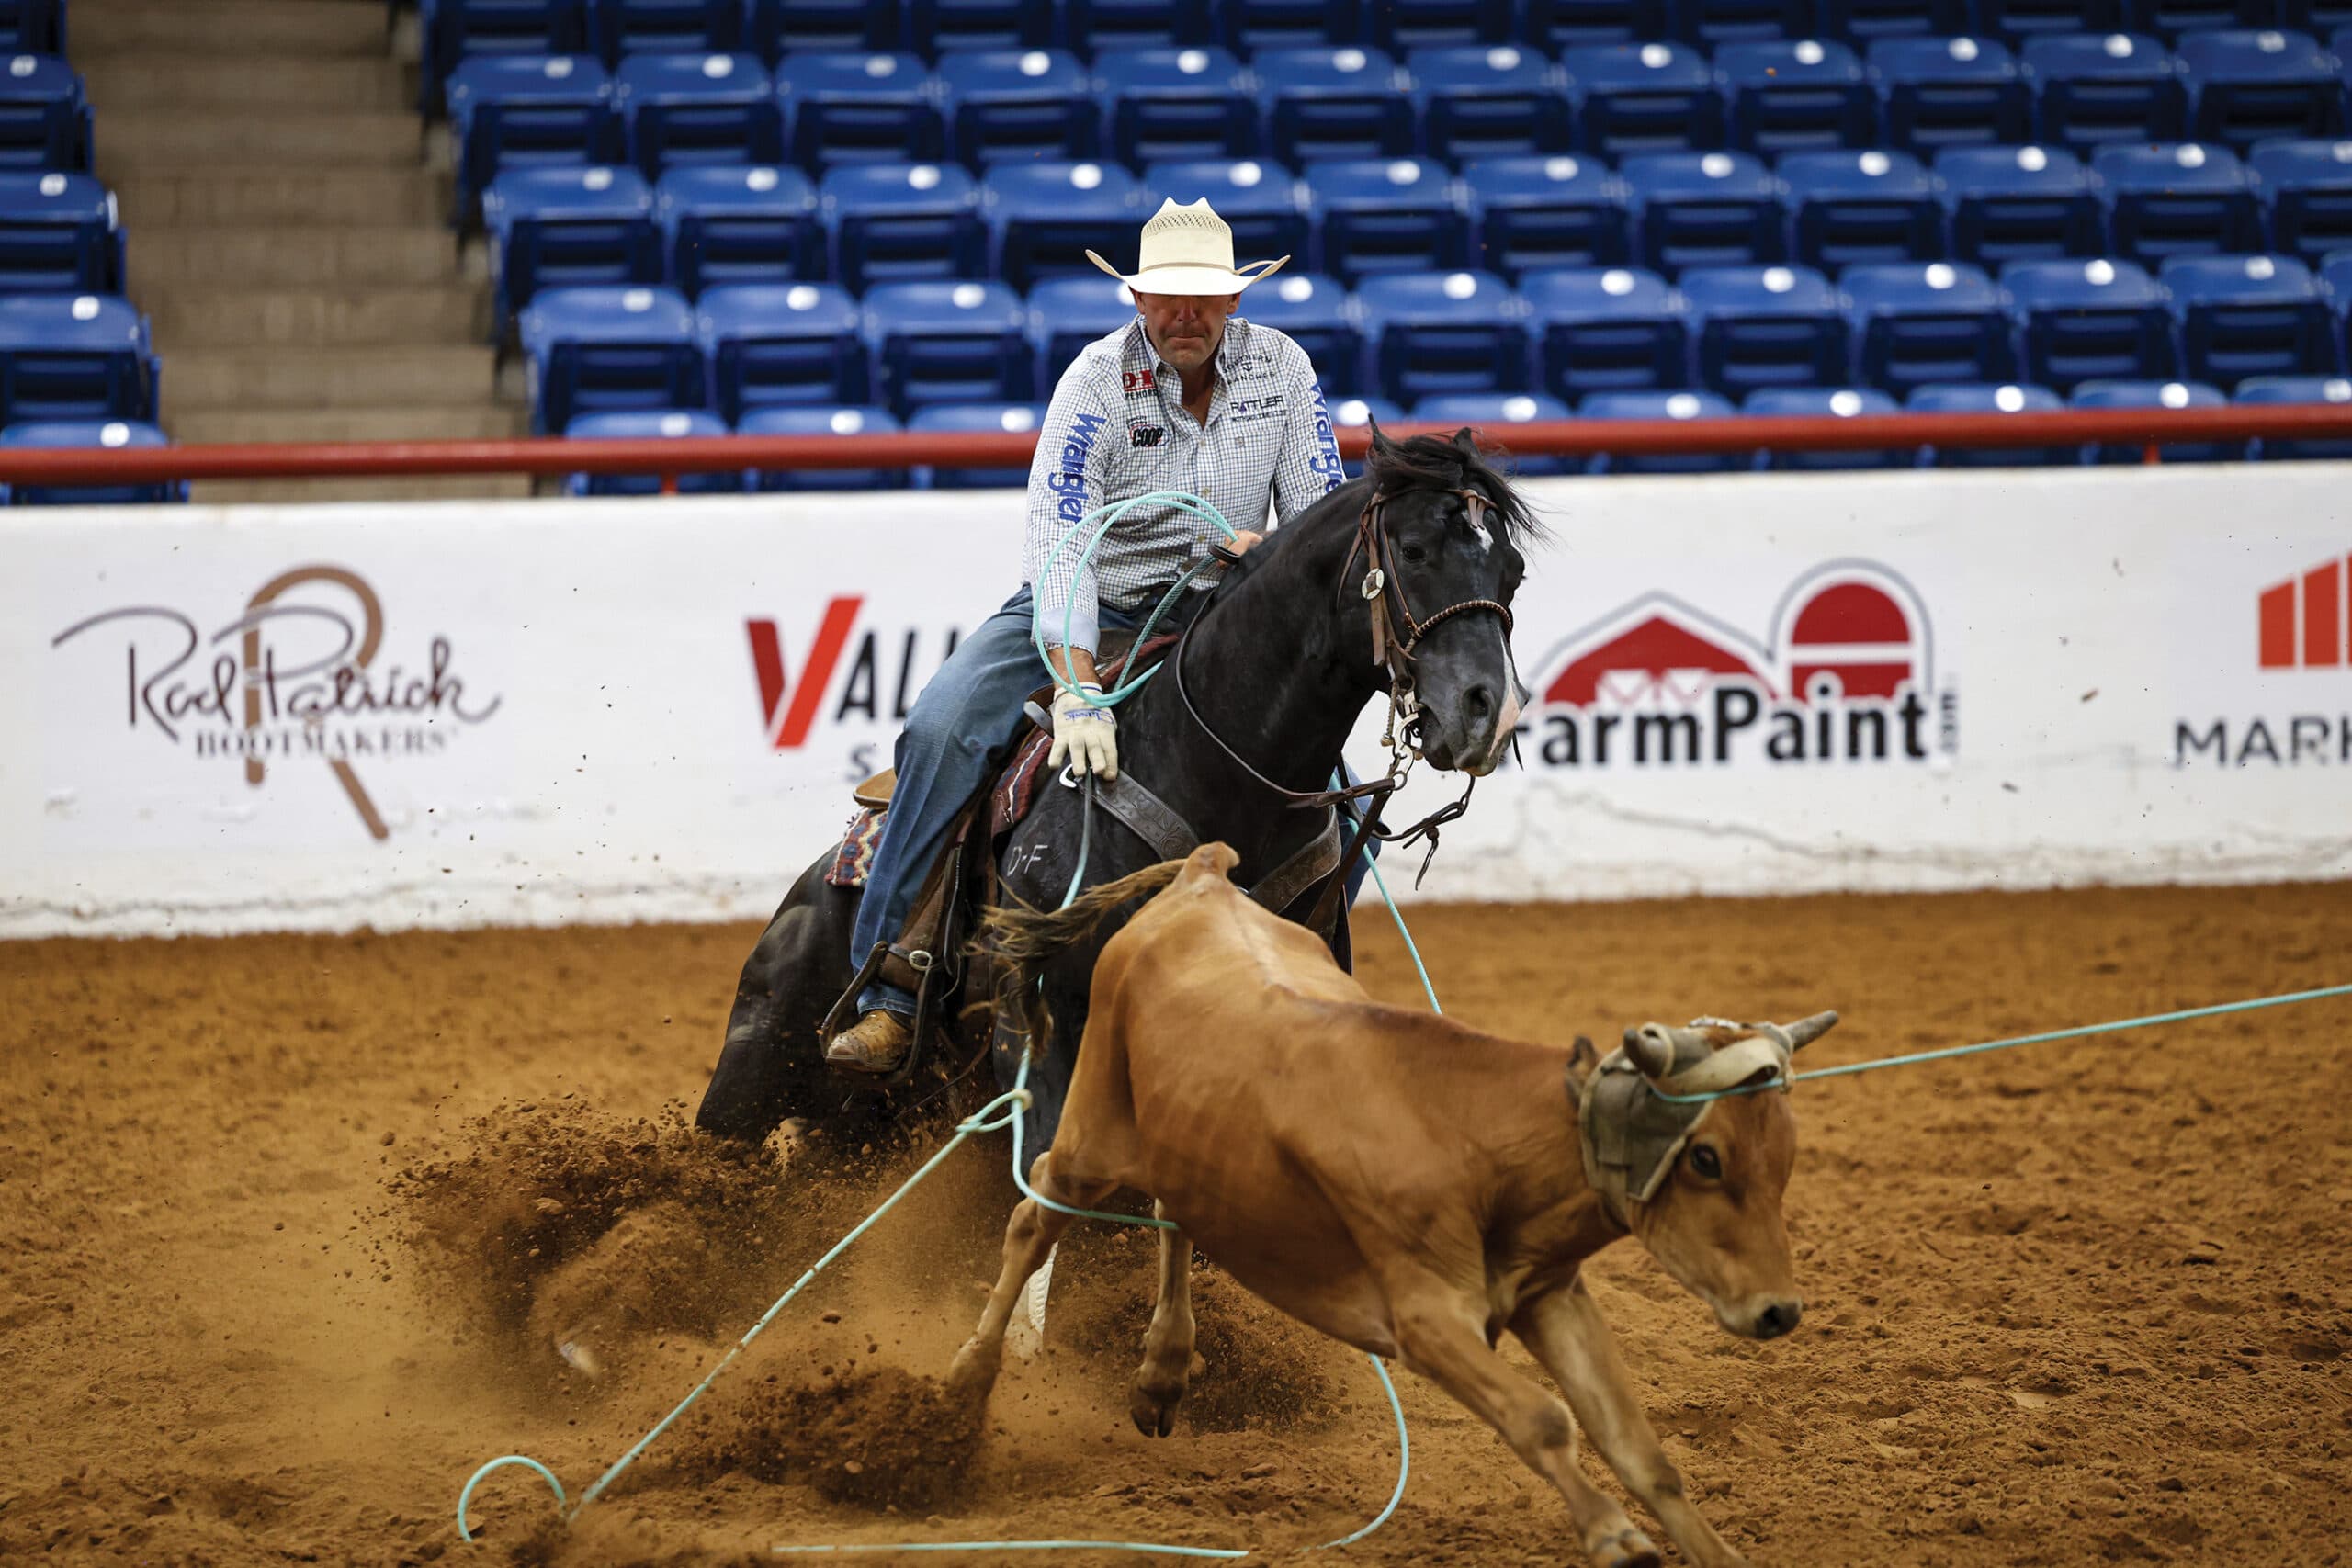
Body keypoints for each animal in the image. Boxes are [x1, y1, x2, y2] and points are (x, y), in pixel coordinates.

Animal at [694, 424, 1539, 1151]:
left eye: (1514, 572)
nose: (1488, 710)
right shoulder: (1040, 1035)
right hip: (752, 1074)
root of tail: (813, 886)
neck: (1215, 770)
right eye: (1414, 550)